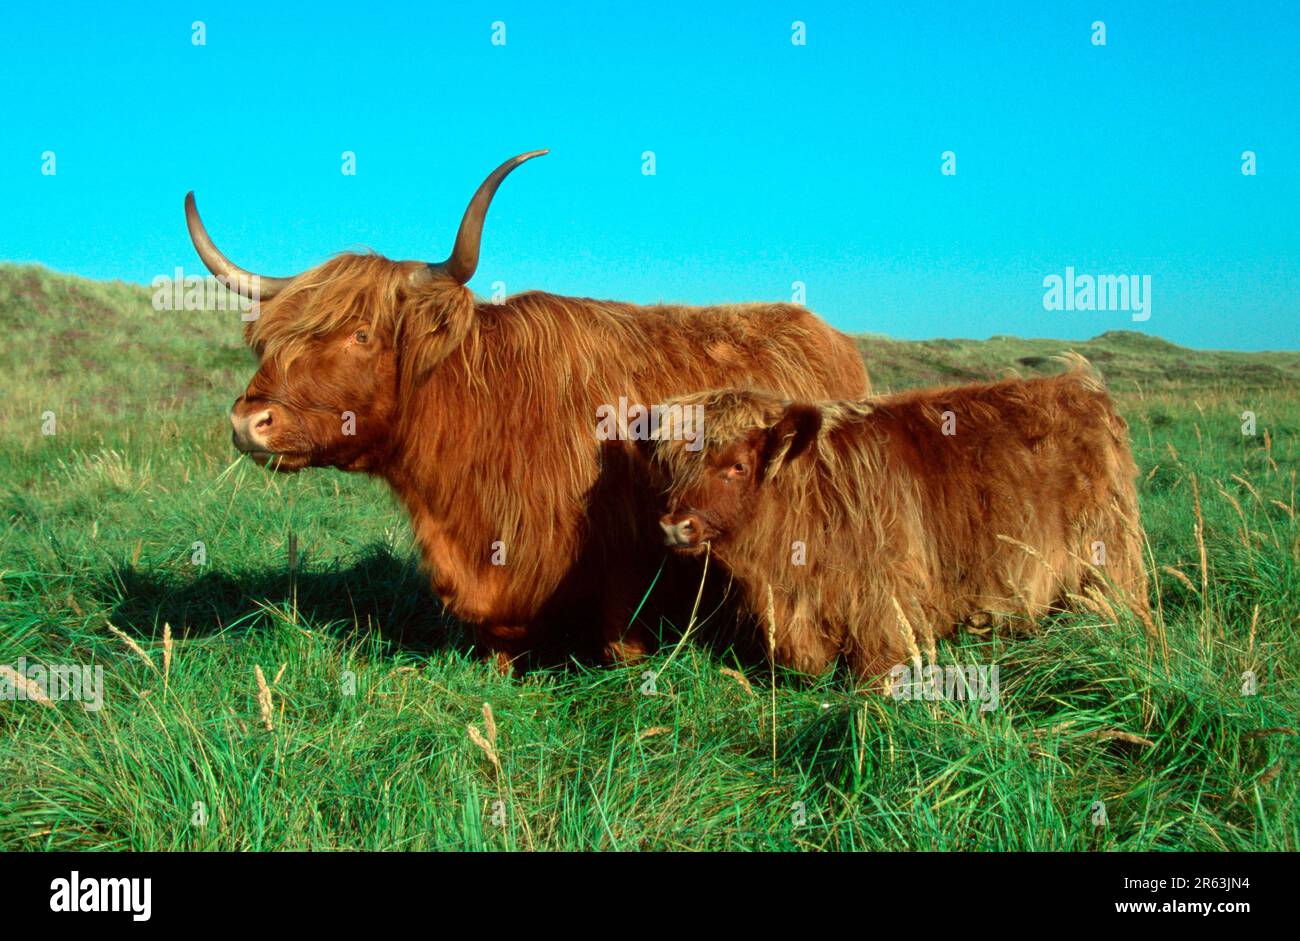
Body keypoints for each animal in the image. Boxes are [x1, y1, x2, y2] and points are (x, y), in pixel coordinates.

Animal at [642, 355, 1149, 680]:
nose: (673, 525)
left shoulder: (884, 598)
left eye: (737, 466)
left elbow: (876, 670)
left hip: (1105, 561)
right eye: (674, 465)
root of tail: (1081, 388)